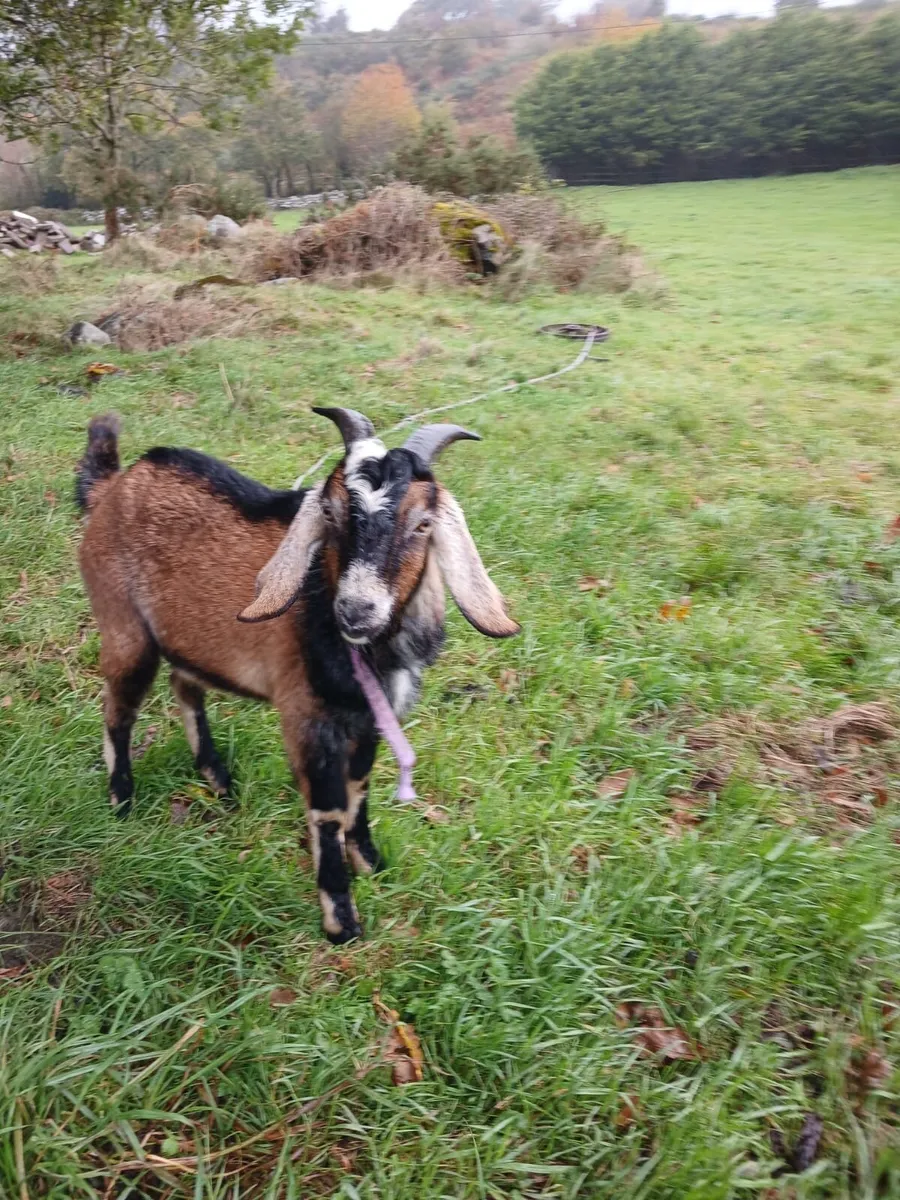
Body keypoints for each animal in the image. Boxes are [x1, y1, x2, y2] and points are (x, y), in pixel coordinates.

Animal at [76, 408, 519, 943]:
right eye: (329, 512)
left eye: (424, 523)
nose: (356, 609)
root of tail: (114, 488)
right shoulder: (308, 718)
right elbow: (328, 810)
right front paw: (341, 921)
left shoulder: (370, 721)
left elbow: (358, 792)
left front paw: (371, 863)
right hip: (123, 624)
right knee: (118, 711)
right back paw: (121, 798)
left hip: (186, 637)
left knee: (186, 685)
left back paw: (217, 778)